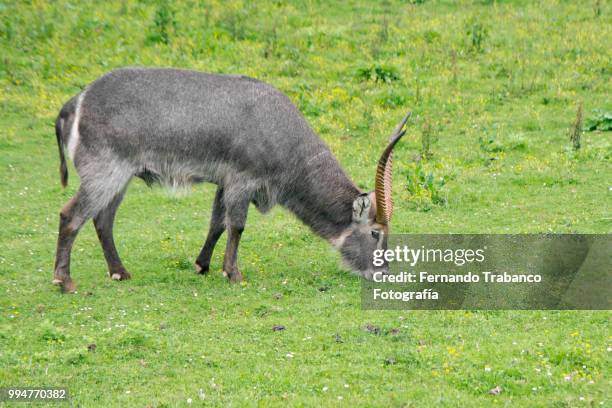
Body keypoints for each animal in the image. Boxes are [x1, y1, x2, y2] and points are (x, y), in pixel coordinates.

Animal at [52, 69, 406, 294]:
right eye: (376, 232)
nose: (384, 272)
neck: (281, 130)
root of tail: (76, 101)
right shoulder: (242, 180)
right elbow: (236, 225)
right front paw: (233, 273)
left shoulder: (224, 182)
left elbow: (216, 223)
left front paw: (202, 265)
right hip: (105, 173)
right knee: (71, 215)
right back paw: (65, 282)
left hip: (119, 178)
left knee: (102, 219)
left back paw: (119, 272)